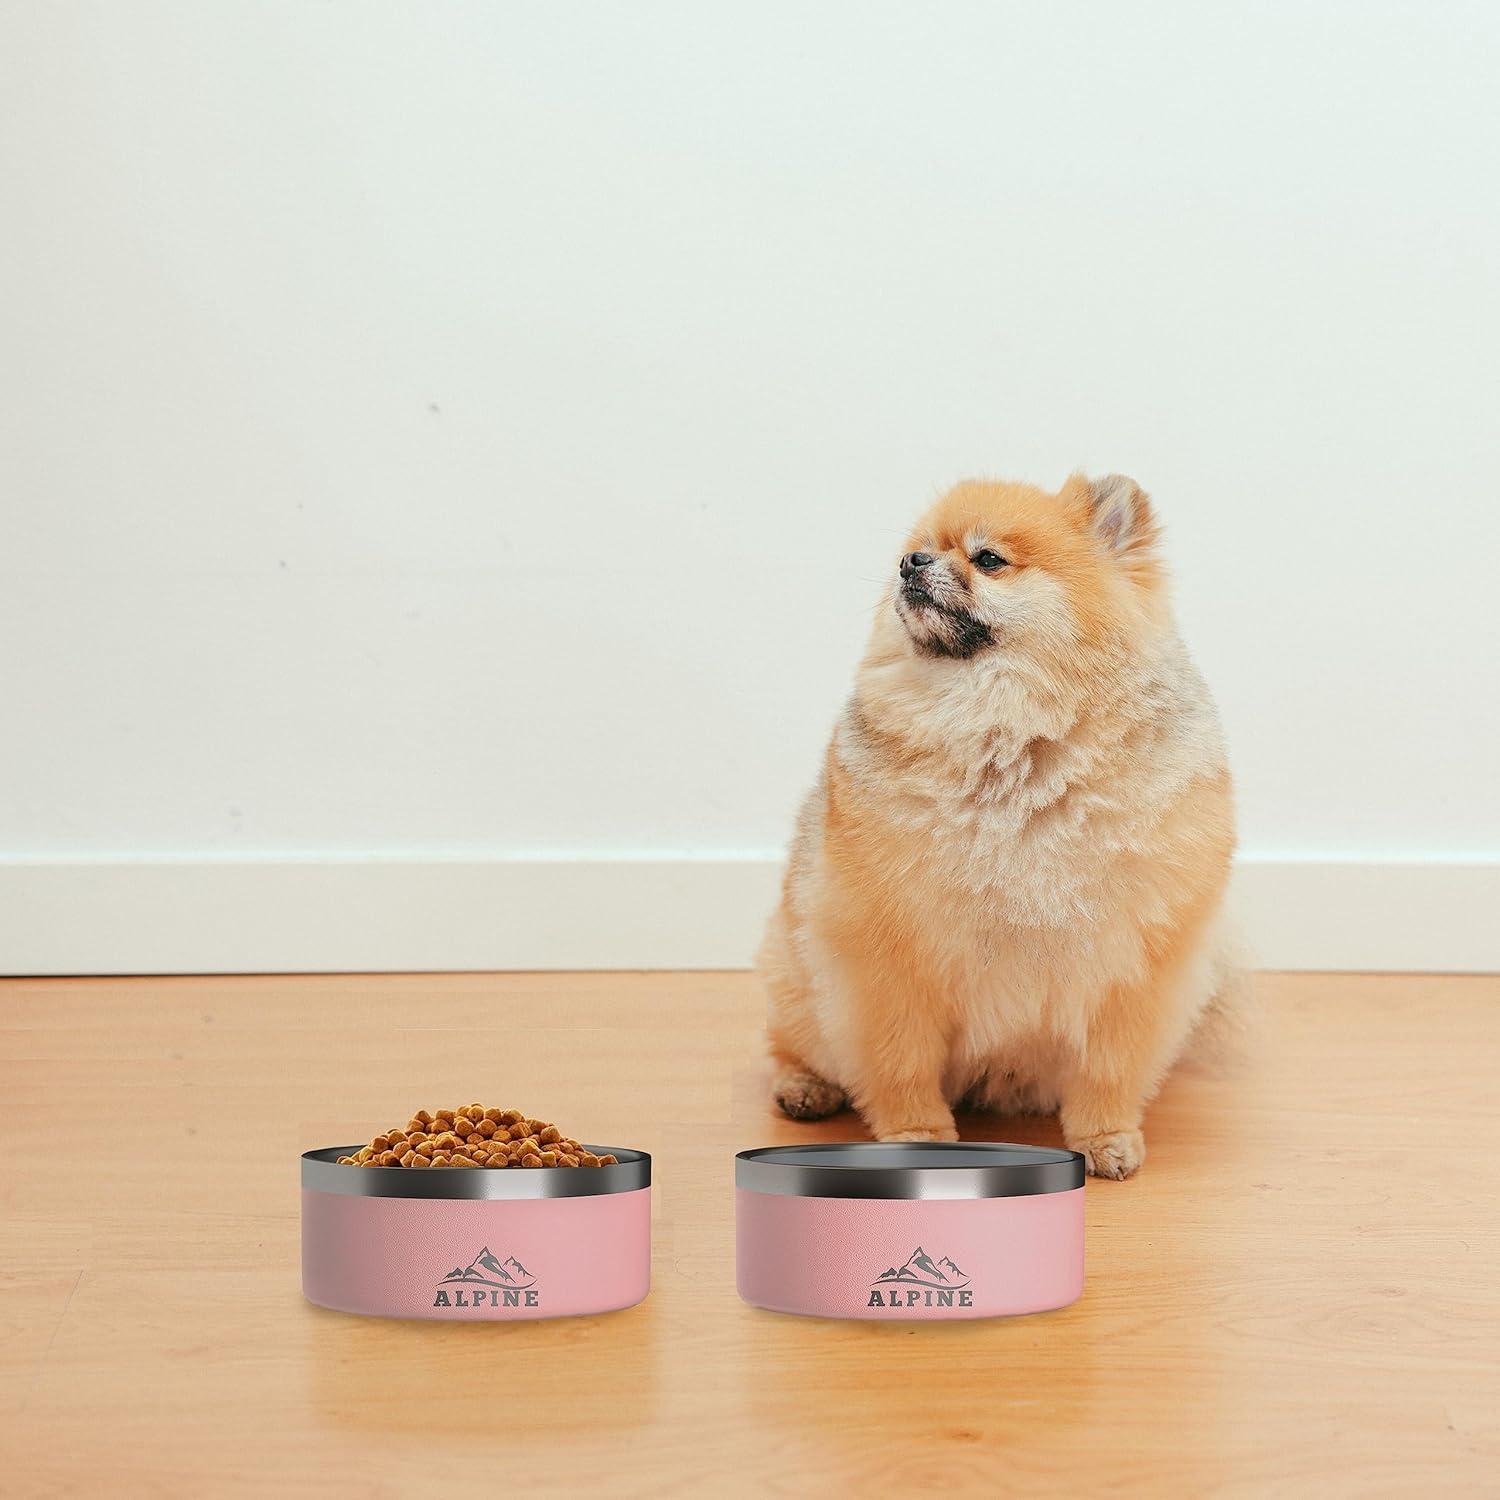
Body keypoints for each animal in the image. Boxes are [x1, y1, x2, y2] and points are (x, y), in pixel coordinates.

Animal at [762, 474, 1242, 1176]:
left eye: (988, 559)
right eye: (914, 549)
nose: (910, 563)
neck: (1011, 739)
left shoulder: (1133, 964)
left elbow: (1109, 1068)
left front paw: (1104, 1136)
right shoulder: (886, 954)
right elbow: (901, 1059)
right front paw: (917, 1135)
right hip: (795, 972)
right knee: (793, 1042)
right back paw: (804, 1086)